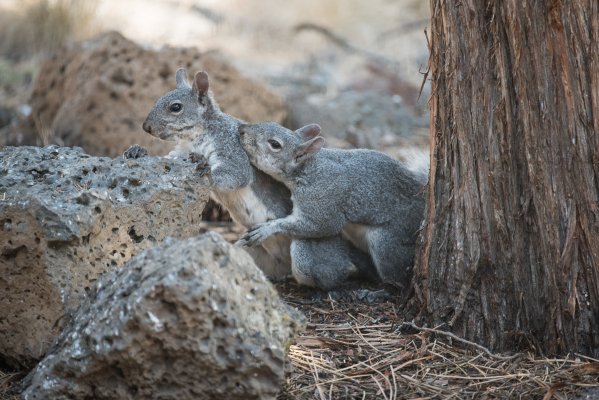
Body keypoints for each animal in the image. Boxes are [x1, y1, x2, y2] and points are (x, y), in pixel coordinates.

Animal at [141, 69, 376, 288]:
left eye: (175, 107)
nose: (146, 127)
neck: (195, 137)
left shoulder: (232, 149)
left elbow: (237, 175)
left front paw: (205, 167)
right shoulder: (180, 152)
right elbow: (169, 159)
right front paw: (138, 151)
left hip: (308, 251)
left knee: (332, 274)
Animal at [236, 122, 426, 288]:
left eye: (275, 144)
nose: (242, 129)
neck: (309, 169)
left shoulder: (322, 203)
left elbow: (321, 226)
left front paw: (267, 229)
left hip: (387, 243)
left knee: (396, 276)